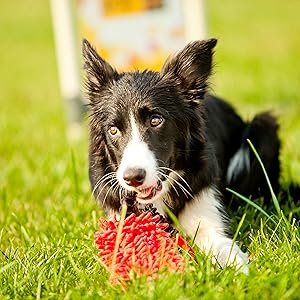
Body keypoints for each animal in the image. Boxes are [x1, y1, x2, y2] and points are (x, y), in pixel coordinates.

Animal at [82, 37, 282, 272]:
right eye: (113, 130)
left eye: (156, 120)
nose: (132, 178)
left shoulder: (206, 212)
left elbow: (221, 245)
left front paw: (239, 269)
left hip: (262, 128)